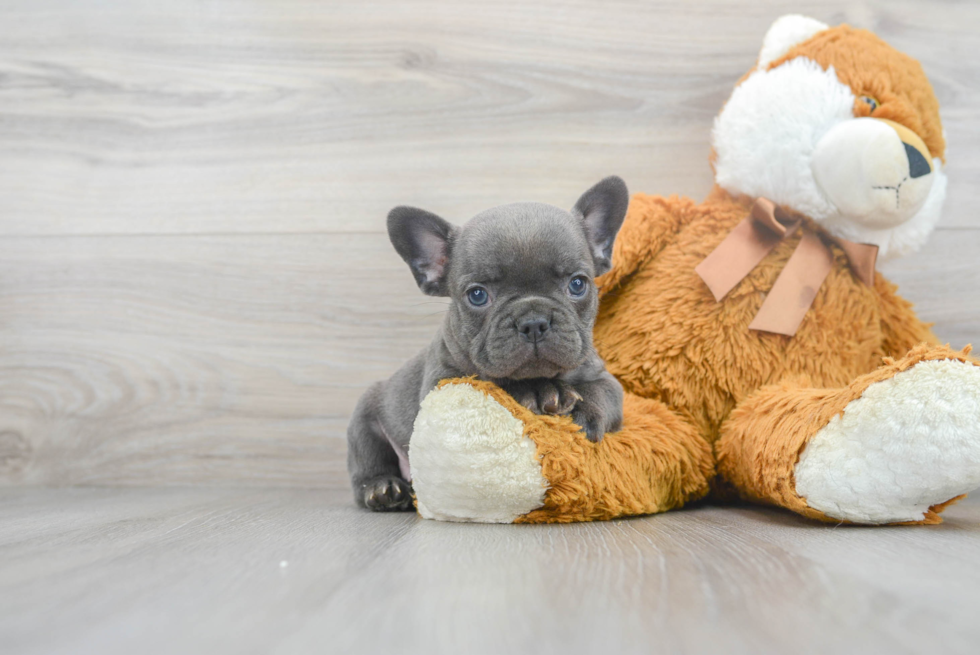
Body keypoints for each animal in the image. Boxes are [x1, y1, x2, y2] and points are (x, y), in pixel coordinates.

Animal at [348, 176, 632, 512]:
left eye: (577, 284)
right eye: (477, 295)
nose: (533, 321)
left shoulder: (604, 379)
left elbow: (602, 392)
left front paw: (584, 412)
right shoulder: (444, 385)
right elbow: (492, 381)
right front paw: (538, 391)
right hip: (363, 421)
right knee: (366, 467)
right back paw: (384, 489)